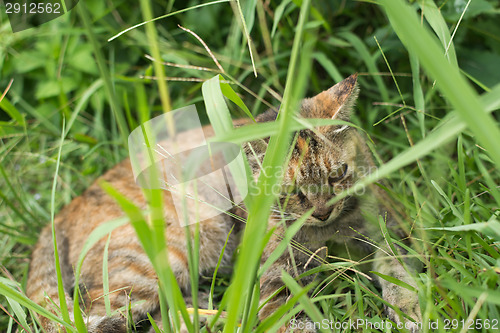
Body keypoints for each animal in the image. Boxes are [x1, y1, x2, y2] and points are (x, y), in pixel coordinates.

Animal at [25, 74, 420, 330]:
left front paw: (411, 310)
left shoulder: (388, 231)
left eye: (338, 175)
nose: (323, 212)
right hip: (169, 251)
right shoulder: (274, 276)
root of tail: (62, 211)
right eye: (290, 192)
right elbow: (287, 318)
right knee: (90, 316)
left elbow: (399, 272)